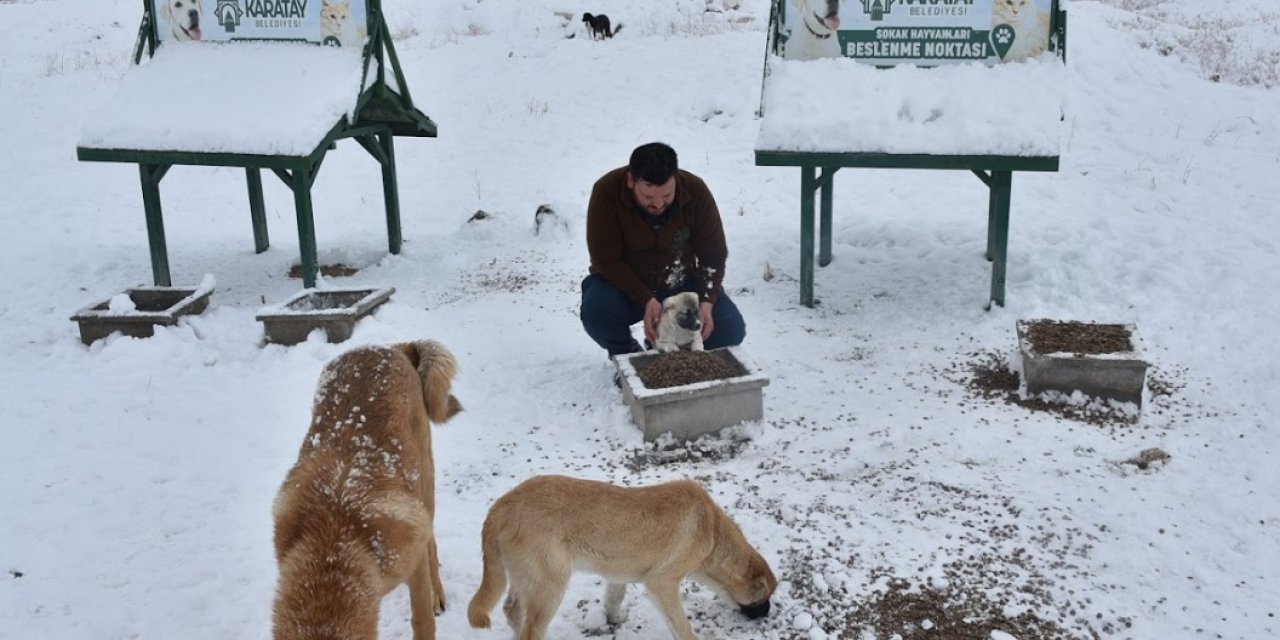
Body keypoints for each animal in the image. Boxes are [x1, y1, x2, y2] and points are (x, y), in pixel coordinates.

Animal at [272, 340, 463, 640]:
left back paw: (437, 594)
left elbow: (421, 619)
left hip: (424, 484)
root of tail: (388, 347)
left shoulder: (413, 558)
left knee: (431, 542)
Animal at [465, 476, 773, 640]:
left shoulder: (620, 574)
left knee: (512, 611)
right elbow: (681, 624)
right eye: (765, 598)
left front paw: (613, 618)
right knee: (530, 629)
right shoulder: (662, 583)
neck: (712, 531)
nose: (768, 614)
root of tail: (502, 505)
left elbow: (614, 598)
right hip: (550, 586)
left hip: (526, 578)